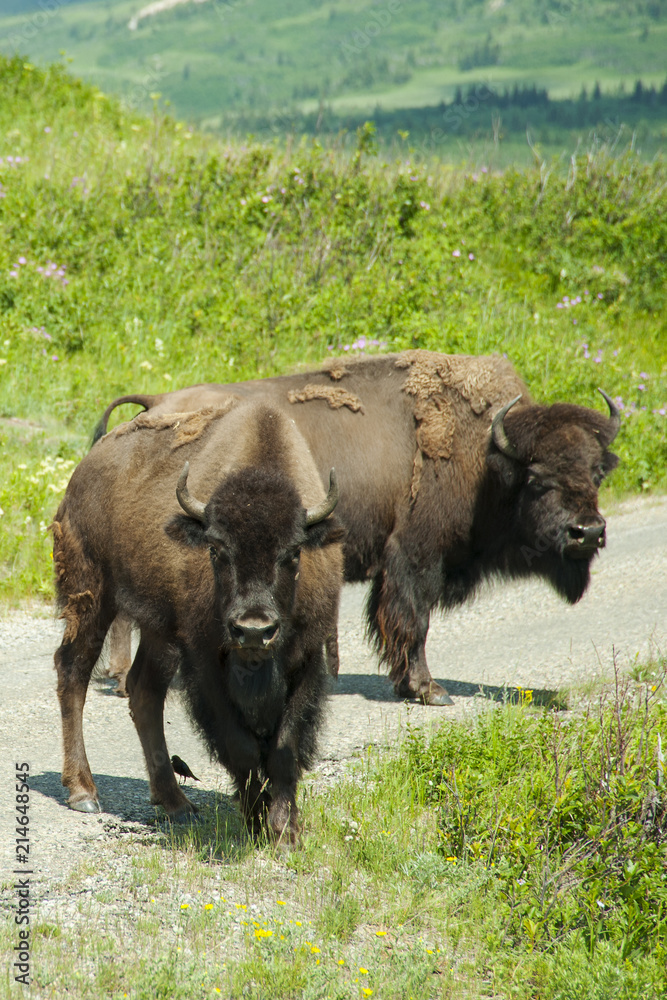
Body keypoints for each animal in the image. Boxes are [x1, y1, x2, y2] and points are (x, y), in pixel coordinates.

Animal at [52, 398, 344, 836]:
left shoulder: (307, 657)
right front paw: (255, 819)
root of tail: (85, 468)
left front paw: (284, 830)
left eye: (293, 553)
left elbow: (284, 746)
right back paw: (83, 792)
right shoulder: (206, 660)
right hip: (91, 596)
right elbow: (240, 745)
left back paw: (176, 803)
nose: (253, 631)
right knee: (73, 673)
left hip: (157, 630)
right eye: (217, 550)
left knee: (144, 691)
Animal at [92, 350, 620, 704]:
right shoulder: (414, 557)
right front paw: (429, 690)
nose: (587, 532)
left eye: (597, 472)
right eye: (537, 478)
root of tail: (156, 403)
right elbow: (414, 622)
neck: (486, 454)